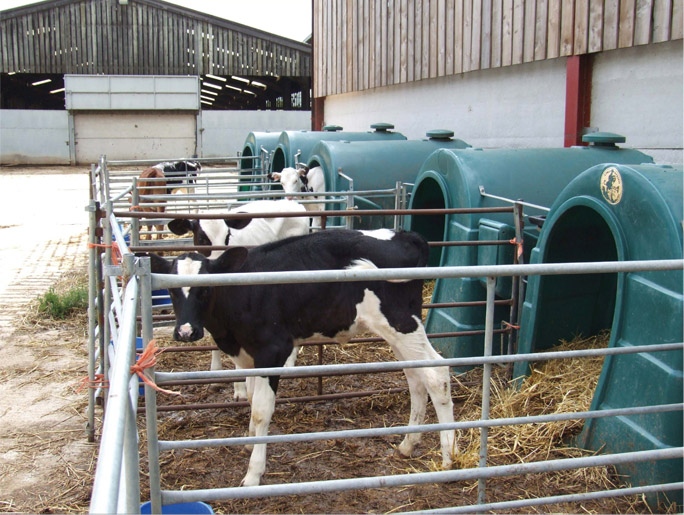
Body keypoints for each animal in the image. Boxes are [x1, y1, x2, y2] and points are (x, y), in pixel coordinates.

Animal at [147, 227, 456, 487]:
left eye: (206, 289)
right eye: (172, 290)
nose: (186, 332)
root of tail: (406, 235)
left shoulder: (273, 350)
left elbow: (261, 410)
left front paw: (253, 473)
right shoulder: (249, 355)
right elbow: (250, 397)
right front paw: (249, 441)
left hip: (401, 322)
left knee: (436, 375)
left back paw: (449, 459)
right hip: (396, 331)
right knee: (415, 378)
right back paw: (408, 445)